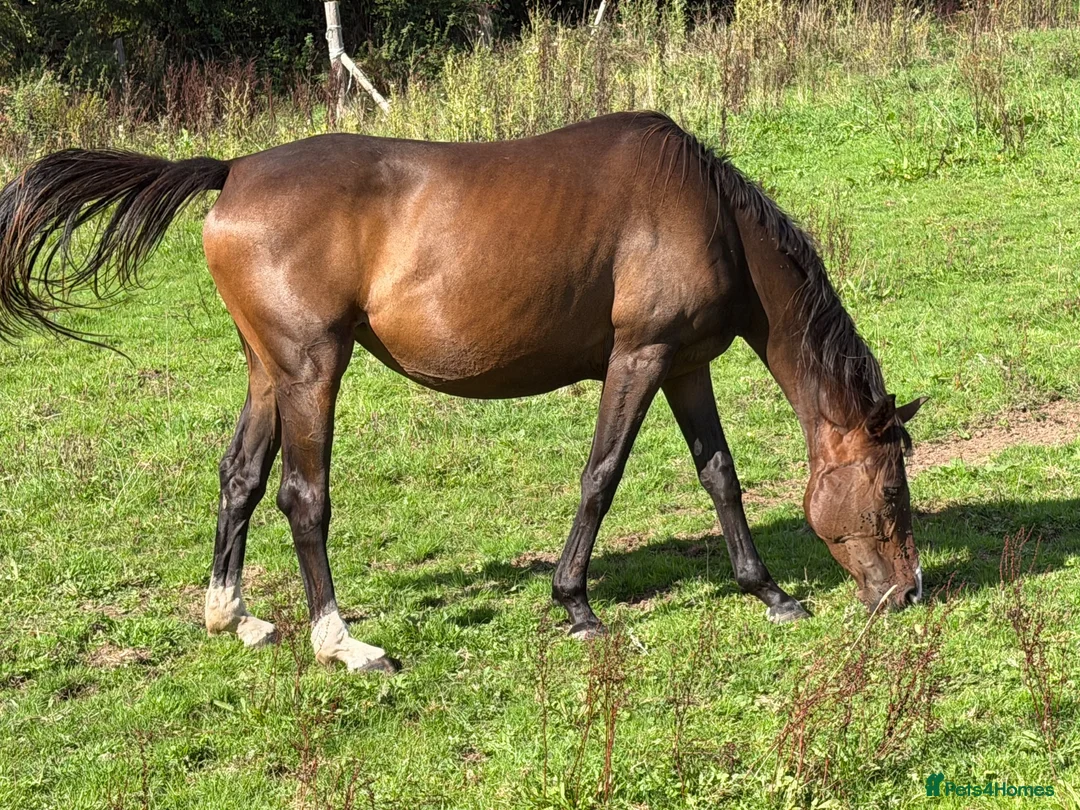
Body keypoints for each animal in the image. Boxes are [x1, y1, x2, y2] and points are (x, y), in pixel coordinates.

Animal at [0, 112, 925, 673]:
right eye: (889, 494)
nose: (907, 595)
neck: (710, 217)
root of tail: (234, 172)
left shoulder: (685, 365)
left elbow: (720, 477)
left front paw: (769, 592)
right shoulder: (640, 357)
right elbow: (601, 477)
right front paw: (576, 604)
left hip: (268, 369)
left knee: (241, 479)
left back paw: (235, 615)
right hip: (311, 368)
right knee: (303, 496)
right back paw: (342, 642)